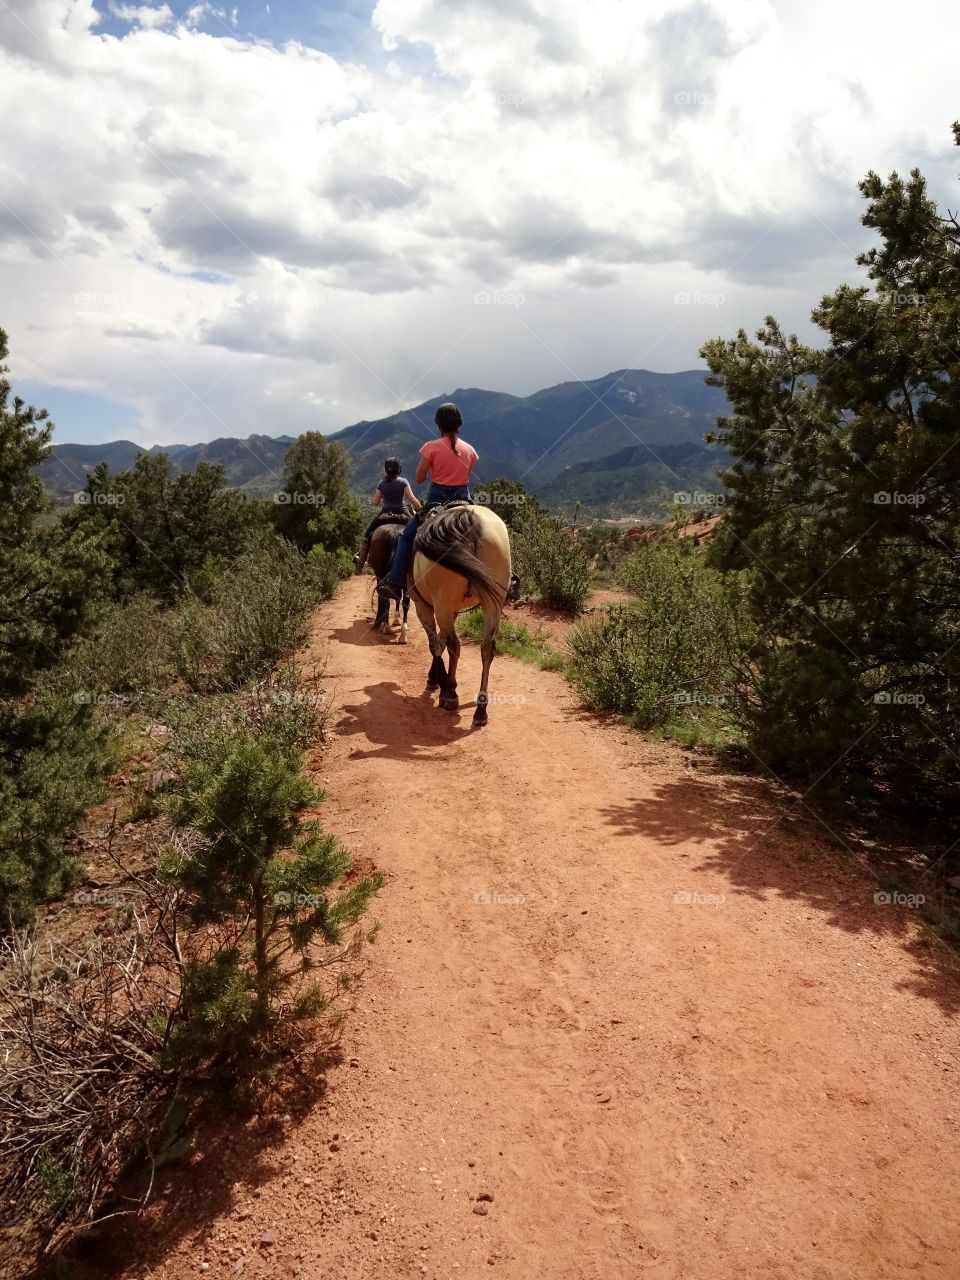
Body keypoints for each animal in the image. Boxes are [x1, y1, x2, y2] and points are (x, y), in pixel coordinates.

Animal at [407, 499, 514, 727]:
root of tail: (469, 518)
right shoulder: (452, 610)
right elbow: (440, 641)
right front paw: (442, 681)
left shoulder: (423, 607)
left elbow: (435, 644)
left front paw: (441, 683)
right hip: (492, 603)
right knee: (487, 648)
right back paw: (481, 710)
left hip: (442, 603)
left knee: (454, 645)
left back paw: (450, 697)